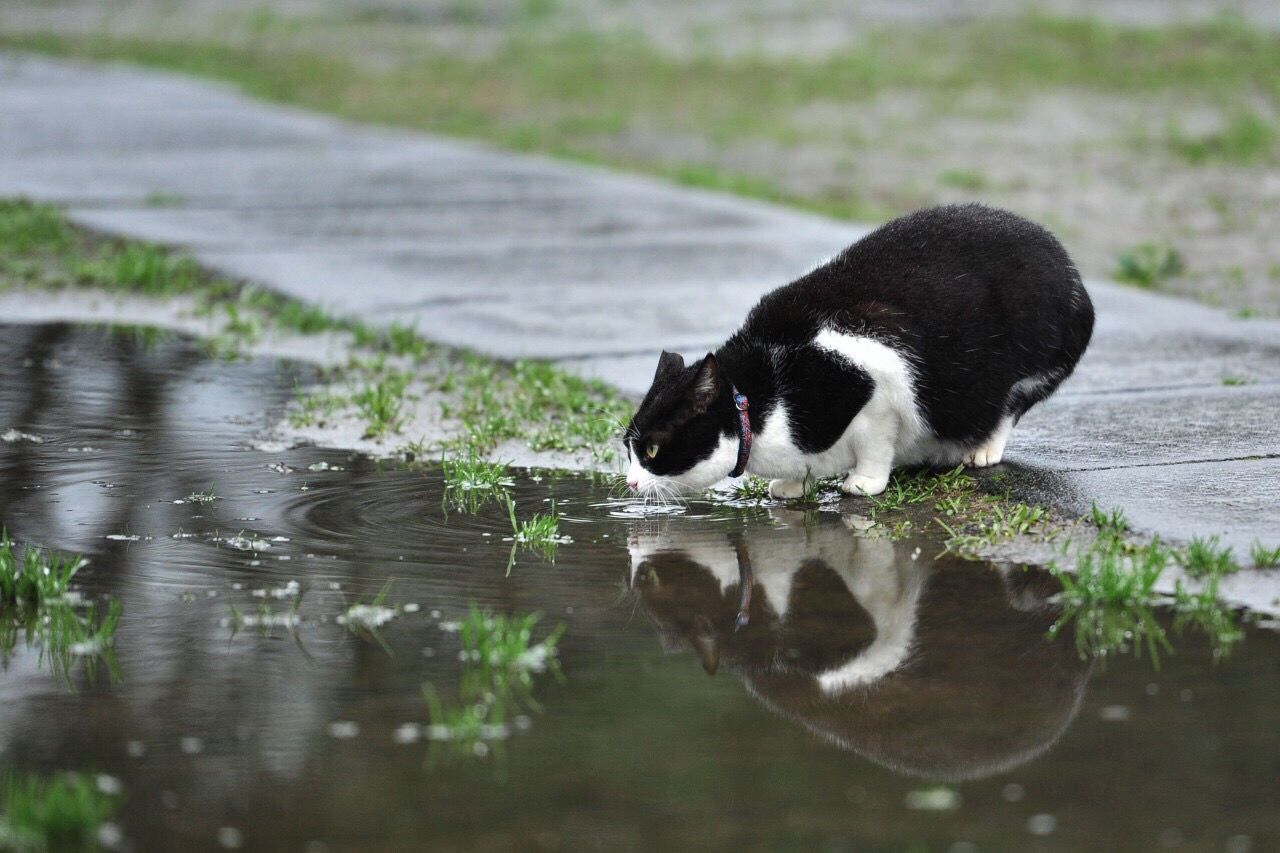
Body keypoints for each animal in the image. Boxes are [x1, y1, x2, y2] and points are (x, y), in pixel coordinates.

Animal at [624, 204, 1095, 499]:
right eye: (627, 448)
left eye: (652, 451)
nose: (628, 483)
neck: (761, 401)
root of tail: (1070, 267)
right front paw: (794, 487)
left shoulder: (876, 381)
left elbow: (876, 441)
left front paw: (865, 482)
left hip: (1029, 364)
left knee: (1006, 406)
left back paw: (980, 450)